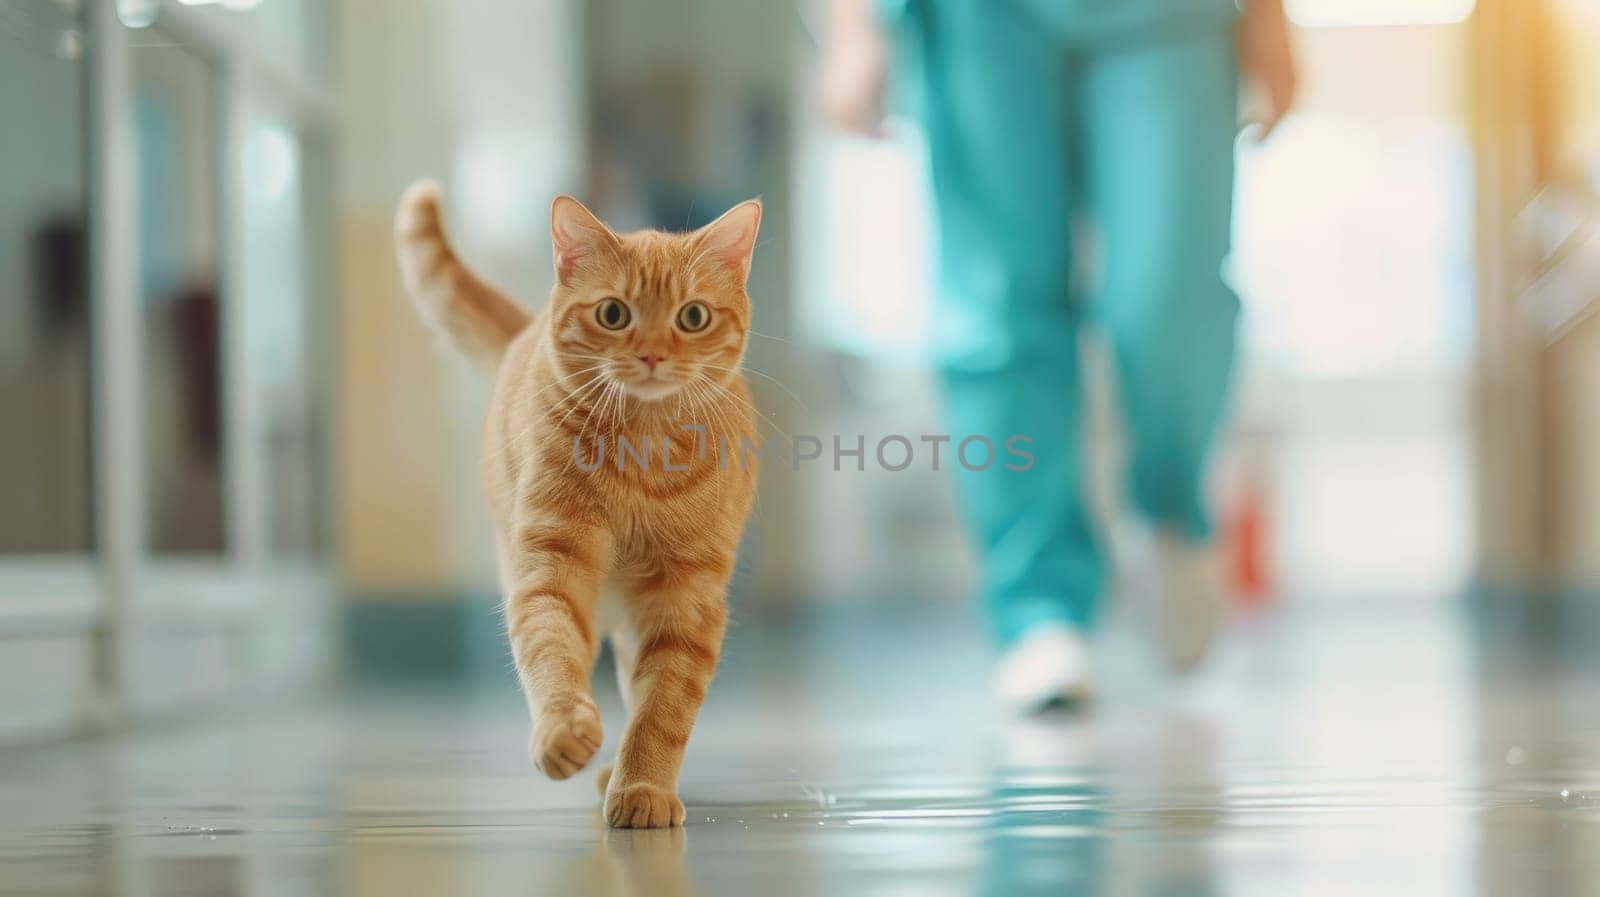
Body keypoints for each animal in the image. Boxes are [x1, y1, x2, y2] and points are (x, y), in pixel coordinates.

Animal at [392, 182, 755, 825]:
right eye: (614, 314)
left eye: (692, 317)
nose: (653, 355)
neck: (642, 456)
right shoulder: (550, 566)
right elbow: (550, 649)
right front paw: (563, 731)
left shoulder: (688, 600)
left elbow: (663, 708)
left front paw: (643, 786)